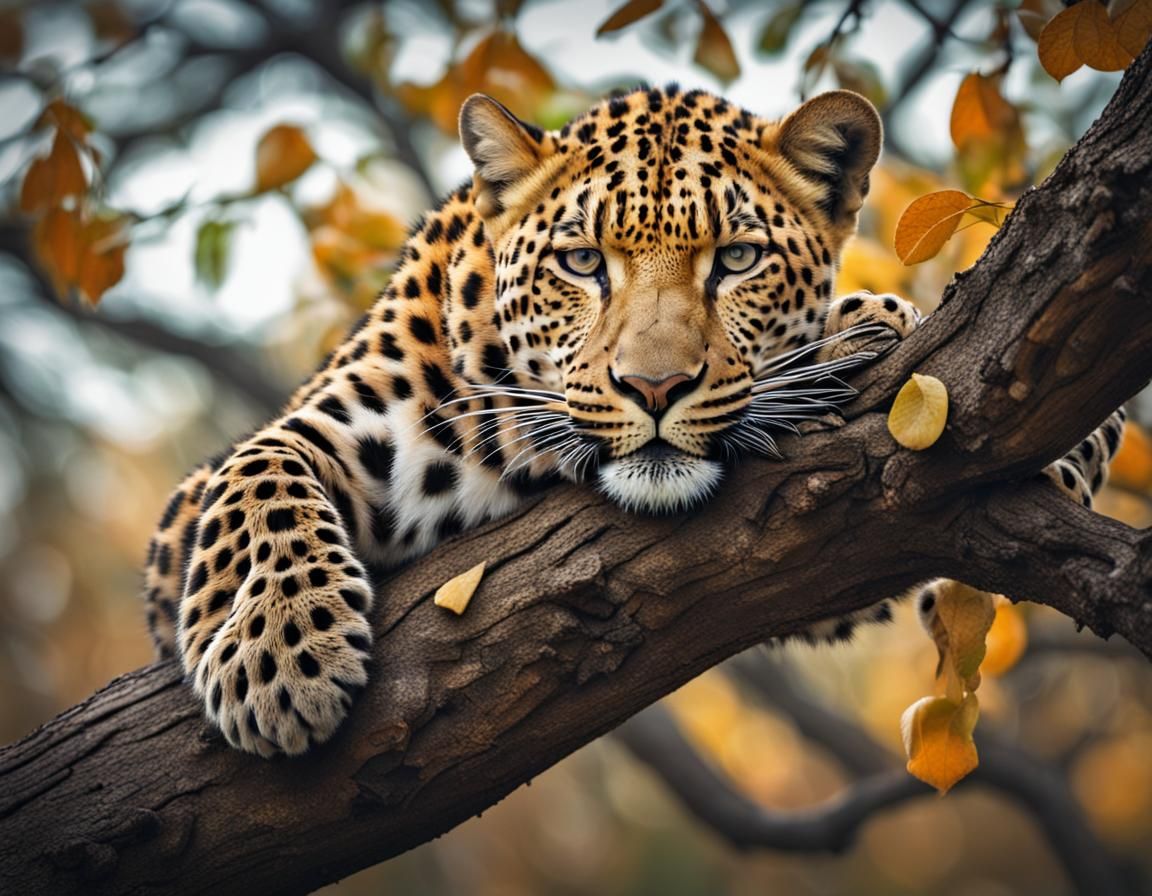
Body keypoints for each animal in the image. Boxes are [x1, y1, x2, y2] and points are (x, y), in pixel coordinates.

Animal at [142, 84, 1126, 757]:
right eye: (582, 262)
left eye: (737, 259)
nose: (655, 387)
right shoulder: (218, 495)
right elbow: (257, 474)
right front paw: (278, 656)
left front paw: (882, 331)